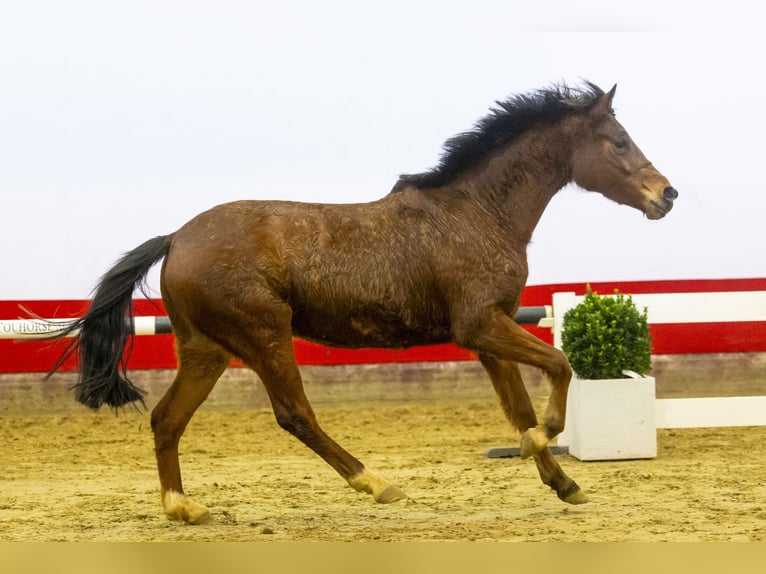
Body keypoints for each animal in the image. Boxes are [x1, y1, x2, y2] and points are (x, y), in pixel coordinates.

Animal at [51, 82, 680, 528]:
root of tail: (176, 238)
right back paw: (376, 483)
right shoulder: (480, 325)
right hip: (264, 335)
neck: (478, 212)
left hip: (207, 349)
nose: (667, 194)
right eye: (619, 141)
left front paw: (563, 482)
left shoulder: (489, 334)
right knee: (294, 415)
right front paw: (543, 437)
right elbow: (559, 366)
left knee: (166, 418)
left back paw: (183, 507)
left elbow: (519, 407)